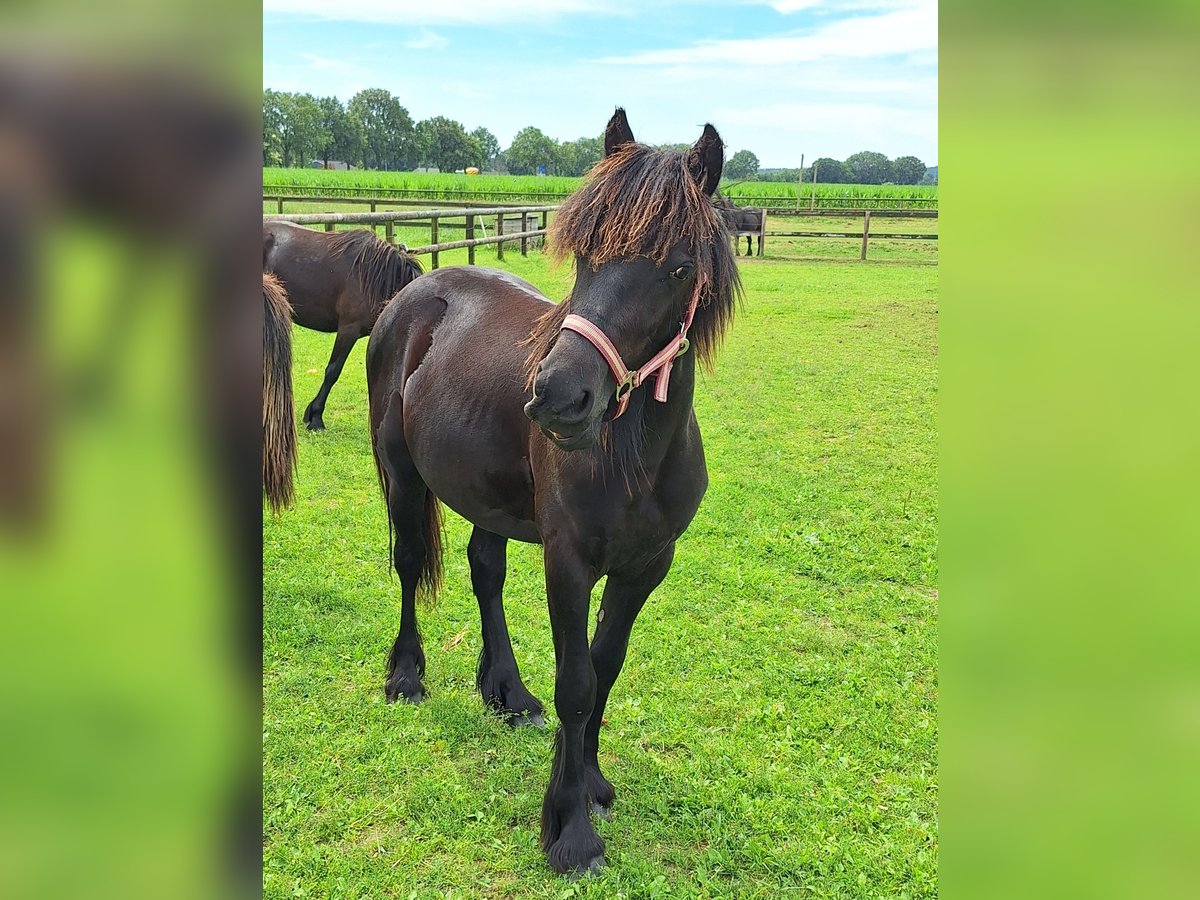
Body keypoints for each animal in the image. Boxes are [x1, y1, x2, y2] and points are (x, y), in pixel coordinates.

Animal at [364, 109, 739, 878]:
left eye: (679, 268)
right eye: (586, 254)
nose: (560, 396)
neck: (633, 458)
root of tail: (411, 296)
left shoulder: (645, 567)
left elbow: (605, 669)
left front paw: (589, 780)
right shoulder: (567, 563)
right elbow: (577, 685)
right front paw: (570, 830)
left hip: (490, 497)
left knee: (485, 571)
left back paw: (507, 692)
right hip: (404, 476)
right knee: (411, 564)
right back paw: (407, 677)